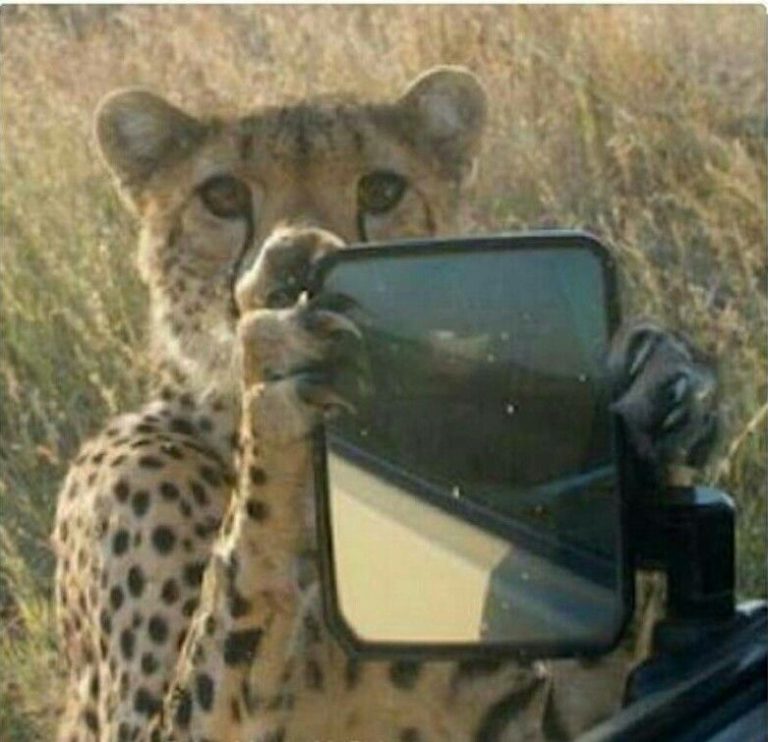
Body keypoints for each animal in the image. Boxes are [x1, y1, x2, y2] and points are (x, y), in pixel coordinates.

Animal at [52, 66, 719, 742]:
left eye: (381, 189)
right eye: (222, 196)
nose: (302, 263)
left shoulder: (528, 717)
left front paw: (651, 388)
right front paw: (278, 374)